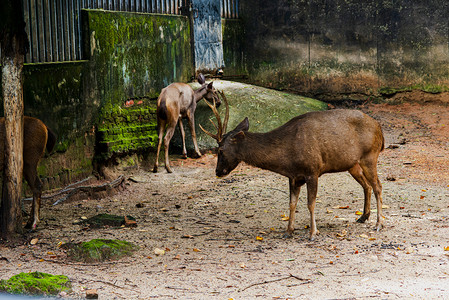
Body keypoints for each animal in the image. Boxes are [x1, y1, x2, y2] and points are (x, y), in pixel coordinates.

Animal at [201, 92, 384, 240]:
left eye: (220, 150)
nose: (218, 171)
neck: (286, 159)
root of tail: (379, 128)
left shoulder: (313, 170)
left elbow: (310, 203)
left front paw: (313, 233)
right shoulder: (294, 177)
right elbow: (292, 204)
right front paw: (288, 231)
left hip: (370, 156)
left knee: (378, 186)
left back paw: (378, 224)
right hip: (352, 164)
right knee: (367, 186)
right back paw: (363, 217)